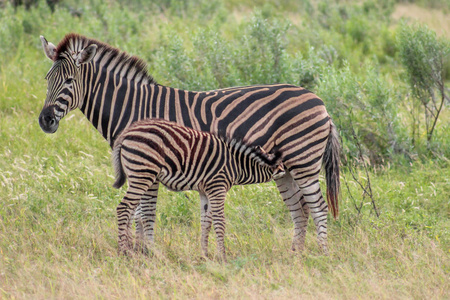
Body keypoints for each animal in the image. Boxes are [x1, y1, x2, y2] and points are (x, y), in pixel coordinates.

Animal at [39, 33, 342, 255]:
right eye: (46, 79)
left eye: (69, 81)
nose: (45, 121)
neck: (132, 107)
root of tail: (320, 102)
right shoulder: (141, 167)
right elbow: (139, 213)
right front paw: (139, 251)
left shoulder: (149, 167)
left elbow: (146, 213)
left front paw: (146, 252)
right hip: (284, 170)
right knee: (299, 210)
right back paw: (295, 255)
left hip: (304, 162)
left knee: (318, 206)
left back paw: (322, 254)